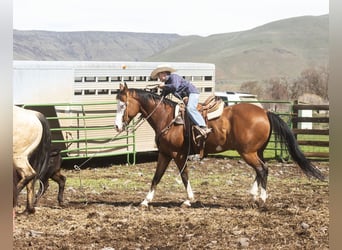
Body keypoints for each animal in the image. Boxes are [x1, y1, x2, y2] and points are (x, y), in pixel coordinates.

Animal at [114, 83, 324, 207]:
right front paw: (145, 200)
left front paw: (188, 200)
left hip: (247, 152)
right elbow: (156, 177)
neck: (168, 118)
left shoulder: (178, 155)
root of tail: (265, 112)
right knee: (261, 169)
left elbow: (184, 176)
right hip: (258, 151)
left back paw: (262, 199)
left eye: (122, 105)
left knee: (262, 169)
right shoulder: (165, 154)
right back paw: (254, 194)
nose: (117, 126)